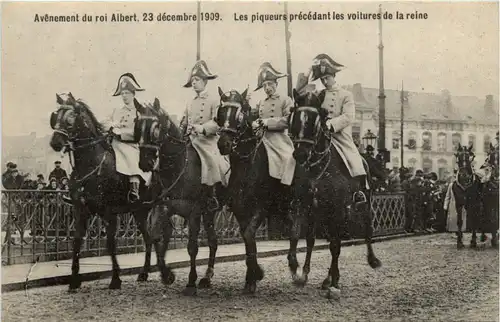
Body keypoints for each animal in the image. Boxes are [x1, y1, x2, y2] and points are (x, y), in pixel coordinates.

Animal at [49, 93, 154, 292]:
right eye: (55, 116)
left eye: (70, 118)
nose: (55, 143)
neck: (92, 164)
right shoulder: (80, 211)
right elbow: (76, 242)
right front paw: (74, 281)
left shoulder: (108, 213)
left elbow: (111, 244)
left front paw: (115, 279)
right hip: (139, 211)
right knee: (149, 238)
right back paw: (144, 273)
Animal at [135, 98, 225, 296]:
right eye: (137, 126)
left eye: (156, 127)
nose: (145, 162)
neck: (178, 164)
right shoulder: (162, 207)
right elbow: (155, 238)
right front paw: (167, 275)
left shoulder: (194, 212)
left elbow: (192, 247)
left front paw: (191, 282)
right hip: (209, 213)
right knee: (213, 241)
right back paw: (207, 277)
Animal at [214, 88, 292, 294]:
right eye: (220, 113)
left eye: (240, 115)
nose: (223, 144)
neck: (247, 166)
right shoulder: (239, 210)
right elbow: (247, 239)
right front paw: (251, 277)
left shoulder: (261, 208)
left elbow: (249, 235)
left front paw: (256, 274)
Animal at [284, 88, 380, 300]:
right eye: (295, 118)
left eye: (316, 120)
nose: (300, 154)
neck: (318, 167)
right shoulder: (303, 205)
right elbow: (298, 236)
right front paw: (297, 270)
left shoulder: (338, 210)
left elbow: (335, 246)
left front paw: (335, 281)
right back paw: (325, 278)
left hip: (362, 207)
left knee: (364, 233)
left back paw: (371, 260)